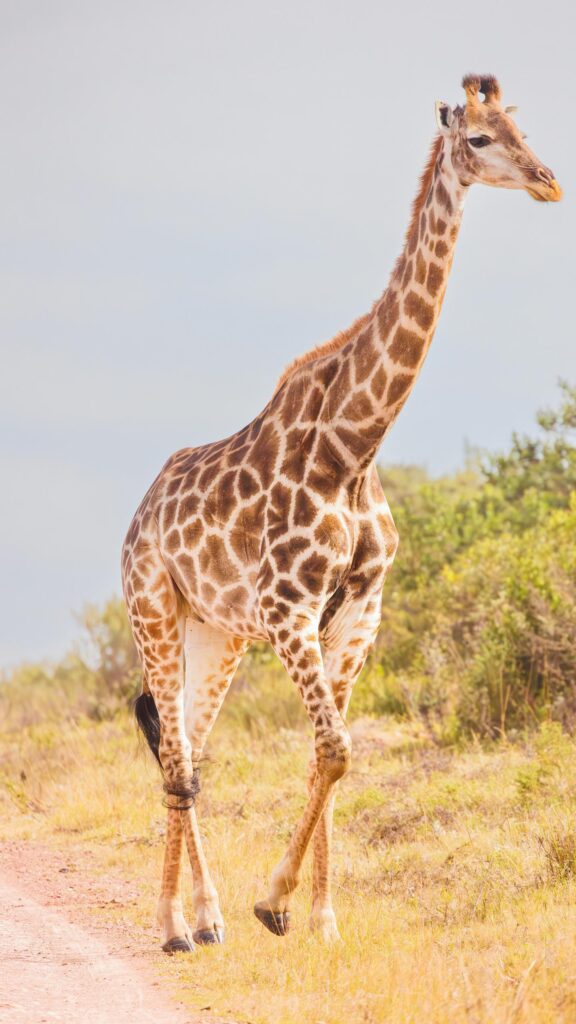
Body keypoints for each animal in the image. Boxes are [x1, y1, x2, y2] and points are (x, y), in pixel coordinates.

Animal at [122, 74, 561, 952]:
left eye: (520, 128)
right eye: (479, 139)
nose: (547, 181)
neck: (353, 446)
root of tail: (139, 514)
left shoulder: (359, 608)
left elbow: (329, 755)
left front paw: (317, 916)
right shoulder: (290, 608)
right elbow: (335, 747)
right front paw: (275, 902)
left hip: (215, 632)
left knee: (193, 748)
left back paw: (208, 917)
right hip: (154, 610)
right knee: (178, 758)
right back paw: (175, 926)